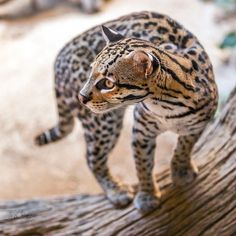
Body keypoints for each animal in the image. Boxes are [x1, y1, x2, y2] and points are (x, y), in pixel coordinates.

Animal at [34, 11, 218, 212]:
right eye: (90, 72)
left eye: (107, 83)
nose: (81, 97)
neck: (166, 105)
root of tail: (59, 58)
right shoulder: (141, 132)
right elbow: (143, 164)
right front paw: (147, 195)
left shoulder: (198, 124)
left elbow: (184, 147)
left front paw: (181, 171)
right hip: (103, 123)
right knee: (92, 158)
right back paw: (116, 190)